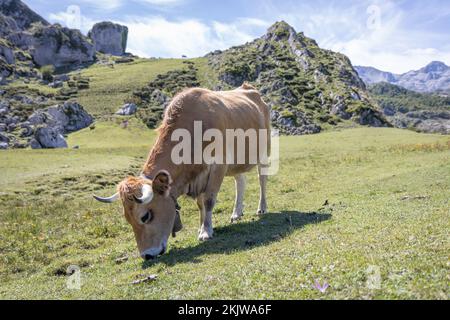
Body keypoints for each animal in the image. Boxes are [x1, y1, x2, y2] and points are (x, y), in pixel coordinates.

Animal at [93, 83, 270, 260]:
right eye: (127, 219)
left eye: (145, 216)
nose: (146, 255)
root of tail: (248, 88)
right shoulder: (197, 176)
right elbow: (200, 204)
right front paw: (200, 227)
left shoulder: (218, 167)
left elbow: (208, 201)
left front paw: (206, 231)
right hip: (237, 163)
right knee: (240, 182)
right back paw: (236, 213)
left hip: (264, 153)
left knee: (262, 180)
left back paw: (262, 208)